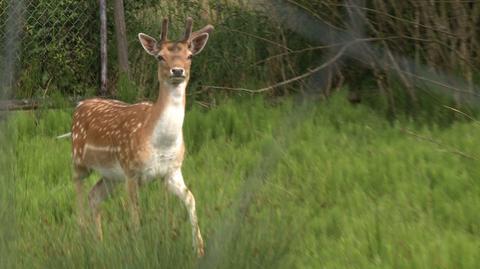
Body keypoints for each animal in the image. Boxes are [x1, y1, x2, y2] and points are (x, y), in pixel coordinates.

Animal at [72, 16, 213, 255]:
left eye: (190, 55)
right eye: (160, 56)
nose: (177, 71)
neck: (160, 143)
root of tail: (80, 105)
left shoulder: (172, 171)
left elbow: (191, 198)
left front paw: (199, 249)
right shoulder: (131, 172)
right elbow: (135, 216)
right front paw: (139, 251)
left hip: (111, 176)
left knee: (94, 197)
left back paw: (100, 244)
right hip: (79, 160)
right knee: (79, 199)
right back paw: (83, 243)